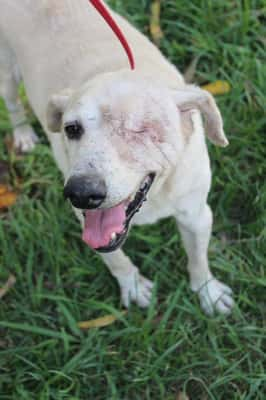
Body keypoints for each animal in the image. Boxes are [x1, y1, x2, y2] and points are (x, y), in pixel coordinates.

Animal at [0, 0, 233, 316]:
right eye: (71, 129)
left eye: (141, 128)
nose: (81, 193)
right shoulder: (85, 221)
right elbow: (117, 259)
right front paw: (133, 287)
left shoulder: (197, 215)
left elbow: (198, 259)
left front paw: (208, 292)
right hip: (7, 72)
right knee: (13, 105)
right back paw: (23, 135)